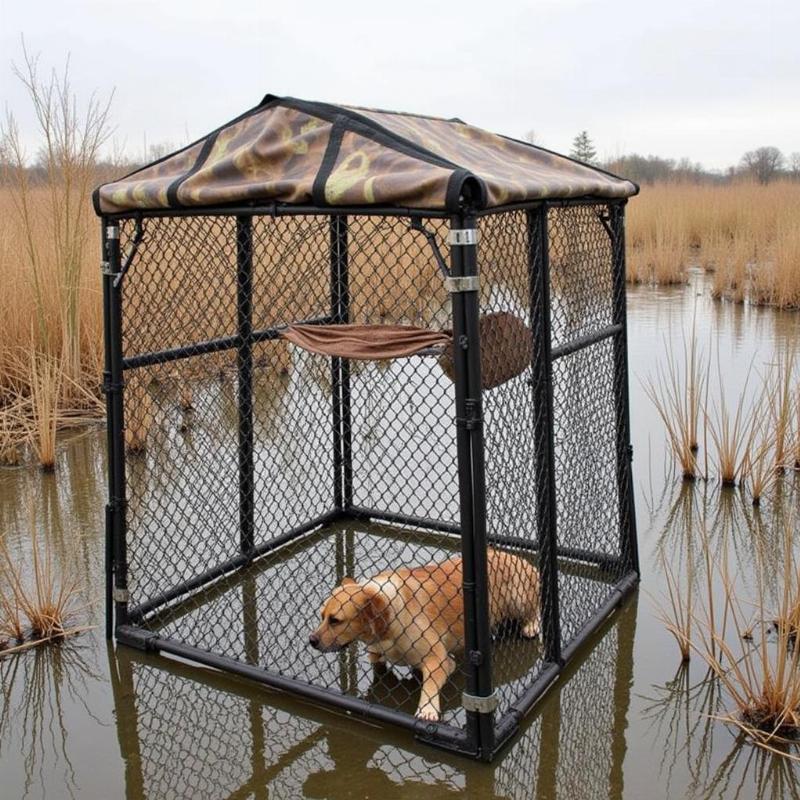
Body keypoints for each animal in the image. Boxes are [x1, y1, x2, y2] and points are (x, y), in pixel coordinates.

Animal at [310, 552, 540, 720]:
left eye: (335, 620)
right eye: (321, 616)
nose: (311, 640)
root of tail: (518, 558)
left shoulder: (439, 659)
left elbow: (429, 685)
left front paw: (427, 709)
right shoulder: (377, 653)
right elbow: (378, 663)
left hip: (518, 598)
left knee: (534, 610)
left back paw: (531, 626)